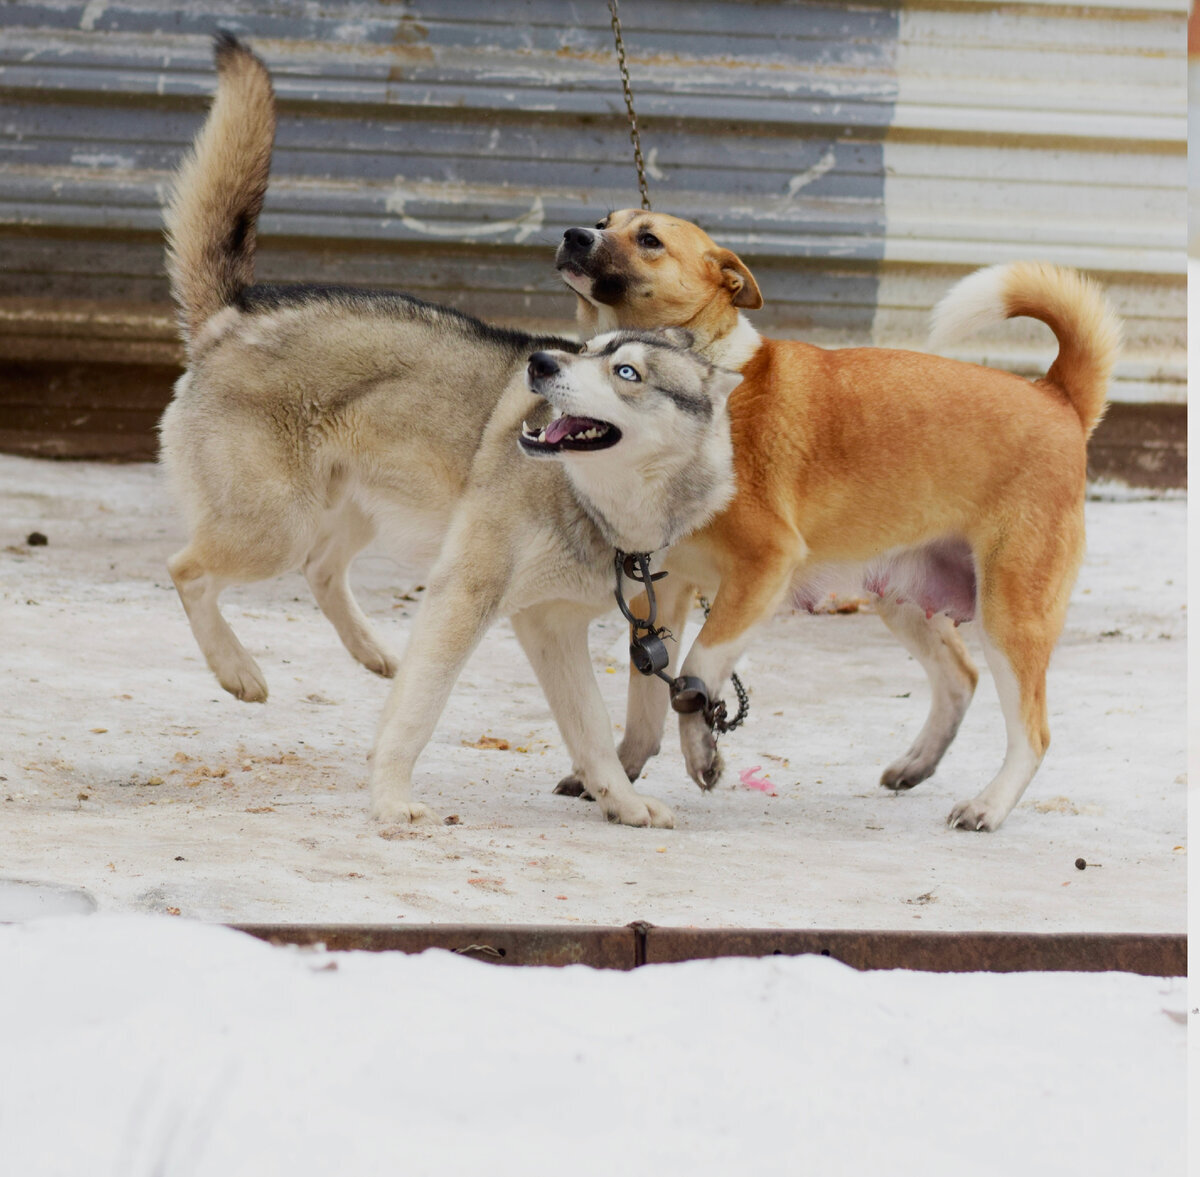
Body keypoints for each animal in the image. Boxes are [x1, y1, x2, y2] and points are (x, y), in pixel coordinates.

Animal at [159, 36, 739, 825]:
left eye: (626, 371)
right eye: (588, 350)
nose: (541, 363)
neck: (601, 507)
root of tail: (234, 318)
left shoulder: (550, 626)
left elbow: (591, 734)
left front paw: (620, 802)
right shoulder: (468, 597)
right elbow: (419, 713)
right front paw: (392, 800)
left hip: (350, 514)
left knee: (320, 569)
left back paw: (373, 653)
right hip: (273, 526)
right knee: (188, 569)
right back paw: (238, 669)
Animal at [556, 213, 1118, 835]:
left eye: (649, 239)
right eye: (605, 222)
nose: (574, 234)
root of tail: (1058, 397)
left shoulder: (765, 566)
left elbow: (695, 674)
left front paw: (702, 751)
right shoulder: (663, 593)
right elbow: (645, 703)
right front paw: (621, 775)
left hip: (1010, 612)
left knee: (1033, 731)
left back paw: (987, 807)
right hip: (903, 596)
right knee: (960, 677)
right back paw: (917, 765)